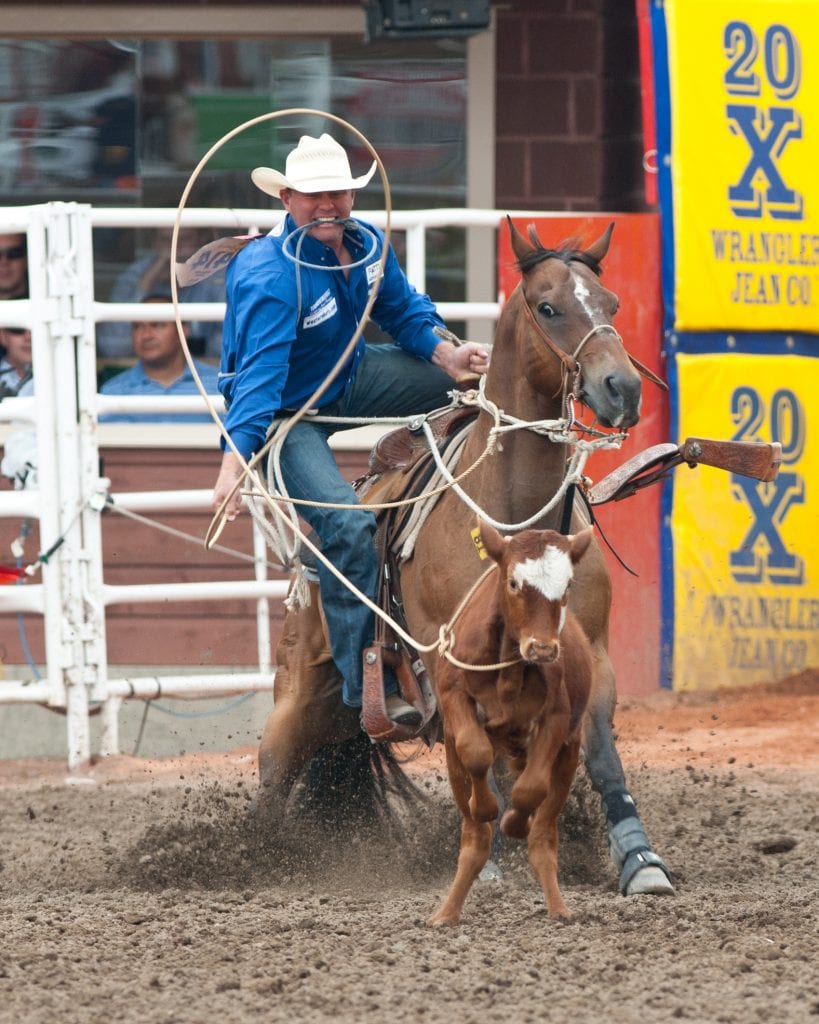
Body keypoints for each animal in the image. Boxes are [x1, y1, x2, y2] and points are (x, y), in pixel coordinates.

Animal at [427, 520, 593, 929]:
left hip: (568, 754)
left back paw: (558, 908)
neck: (509, 666)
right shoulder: (453, 697)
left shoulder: (557, 719)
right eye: (514, 582)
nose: (544, 649)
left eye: (568, 584)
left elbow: (530, 789)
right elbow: (475, 751)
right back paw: (447, 913)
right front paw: (486, 805)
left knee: (542, 837)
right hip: (453, 762)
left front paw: (514, 821)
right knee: (475, 841)